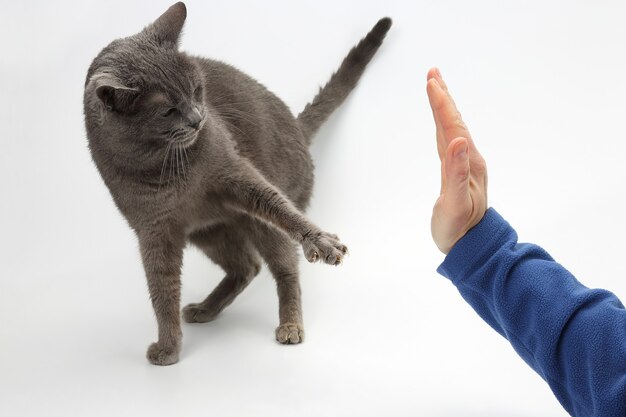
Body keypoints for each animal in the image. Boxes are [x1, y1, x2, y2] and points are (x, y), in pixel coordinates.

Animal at [83, 0, 390, 364]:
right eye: (167, 111)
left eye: (197, 90)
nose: (198, 119)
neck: (165, 166)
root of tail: (298, 129)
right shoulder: (154, 229)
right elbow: (161, 290)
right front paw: (168, 348)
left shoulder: (235, 173)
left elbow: (279, 208)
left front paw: (322, 241)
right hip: (209, 232)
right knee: (247, 266)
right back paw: (205, 308)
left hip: (258, 219)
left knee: (284, 265)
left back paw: (290, 325)